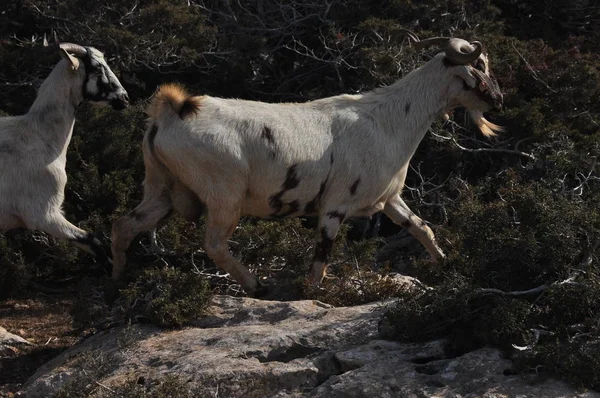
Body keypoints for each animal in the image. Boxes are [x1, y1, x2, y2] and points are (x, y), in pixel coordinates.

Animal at [111, 31, 502, 296]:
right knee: (215, 244)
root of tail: (171, 112)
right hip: (225, 194)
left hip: (161, 187)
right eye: (479, 65)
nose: (498, 100)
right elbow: (319, 263)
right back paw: (257, 285)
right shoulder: (334, 206)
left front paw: (446, 264)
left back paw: (116, 281)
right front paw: (312, 294)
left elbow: (422, 228)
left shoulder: (389, 199)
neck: (389, 119)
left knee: (125, 226)